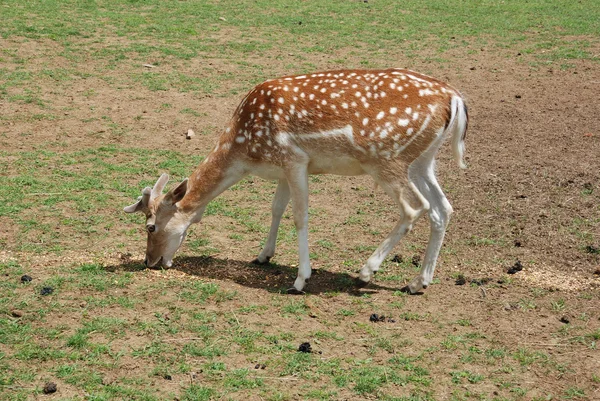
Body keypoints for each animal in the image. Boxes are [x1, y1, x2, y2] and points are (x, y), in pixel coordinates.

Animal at [123, 68, 468, 294]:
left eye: (150, 226)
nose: (150, 261)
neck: (246, 150)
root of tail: (455, 98)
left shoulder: (294, 159)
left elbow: (300, 216)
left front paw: (301, 280)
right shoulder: (283, 169)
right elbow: (276, 208)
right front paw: (263, 255)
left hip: (386, 159)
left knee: (414, 209)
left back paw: (366, 273)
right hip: (423, 161)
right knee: (443, 209)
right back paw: (418, 282)